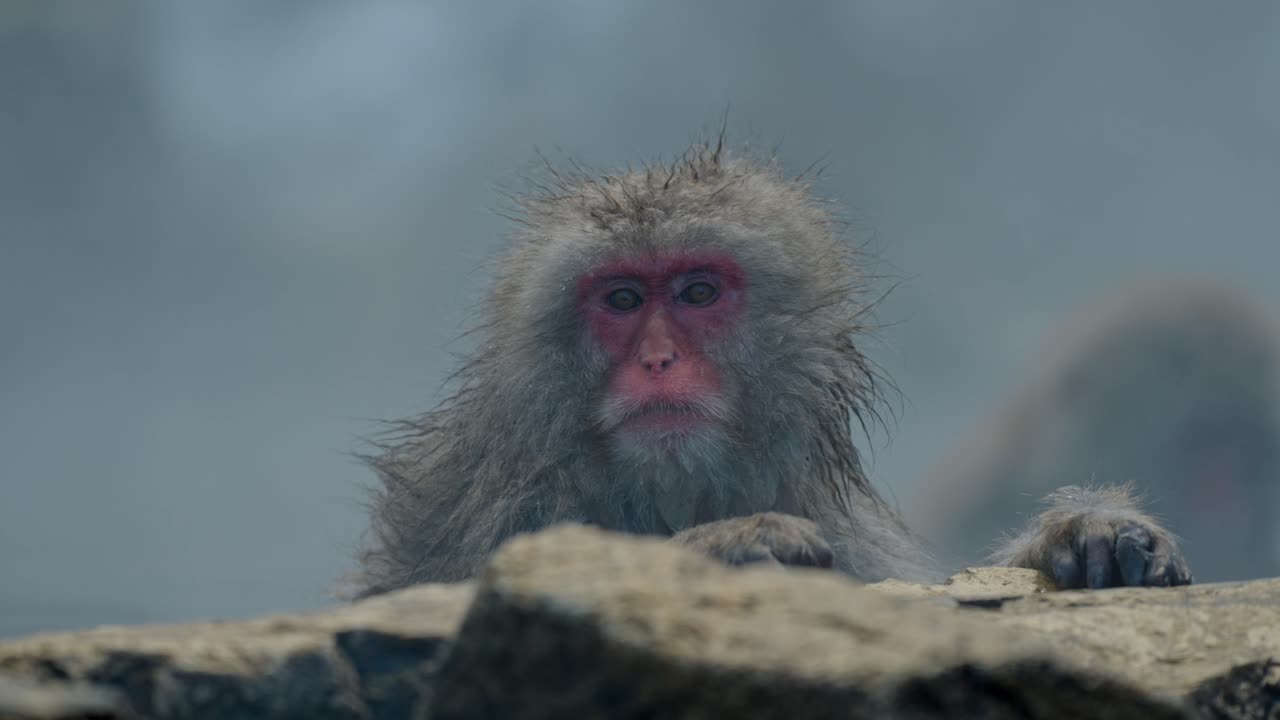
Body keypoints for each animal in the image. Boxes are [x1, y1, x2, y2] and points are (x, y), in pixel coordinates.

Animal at [347, 137, 1192, 598]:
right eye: (622, 299)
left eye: (697, 292)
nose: (657, 357)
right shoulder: (475, 506)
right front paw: (725, 545)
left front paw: (1082, 530)